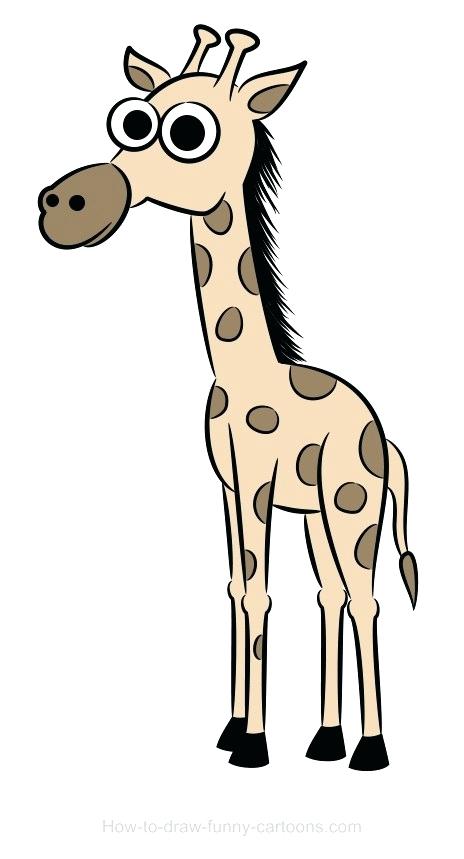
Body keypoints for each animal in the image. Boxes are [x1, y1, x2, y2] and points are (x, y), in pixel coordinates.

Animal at [38, 25, 418, 771]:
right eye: (131, 119)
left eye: (190, 132)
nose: (64, 205)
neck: (244, 372)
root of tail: (381, 433)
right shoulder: (228, 484)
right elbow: (238, 587)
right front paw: (232, 728)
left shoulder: (259, 482)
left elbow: (261, 593)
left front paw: (254, 745)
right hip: (318, 511)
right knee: (332, 593)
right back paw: (326, 740)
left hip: (352, 502)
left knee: (365, 597)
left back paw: (370, 748)